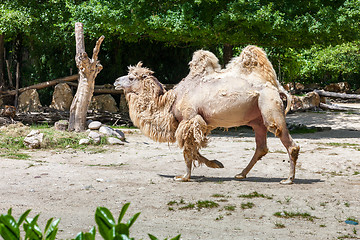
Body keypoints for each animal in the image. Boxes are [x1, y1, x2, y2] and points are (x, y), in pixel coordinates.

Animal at [114, 44, 300, 184]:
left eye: (131, 77)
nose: (115, 81)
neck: (171, 100)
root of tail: (278, 87)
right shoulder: (200, 122)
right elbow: (193, 148)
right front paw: (216, 164)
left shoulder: (189, 119)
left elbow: (187, 149)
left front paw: (184, 177)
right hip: (257, 119)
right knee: (261, 146)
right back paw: (241, 174)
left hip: (269, 107)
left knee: (289, 142)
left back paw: (288, 179)